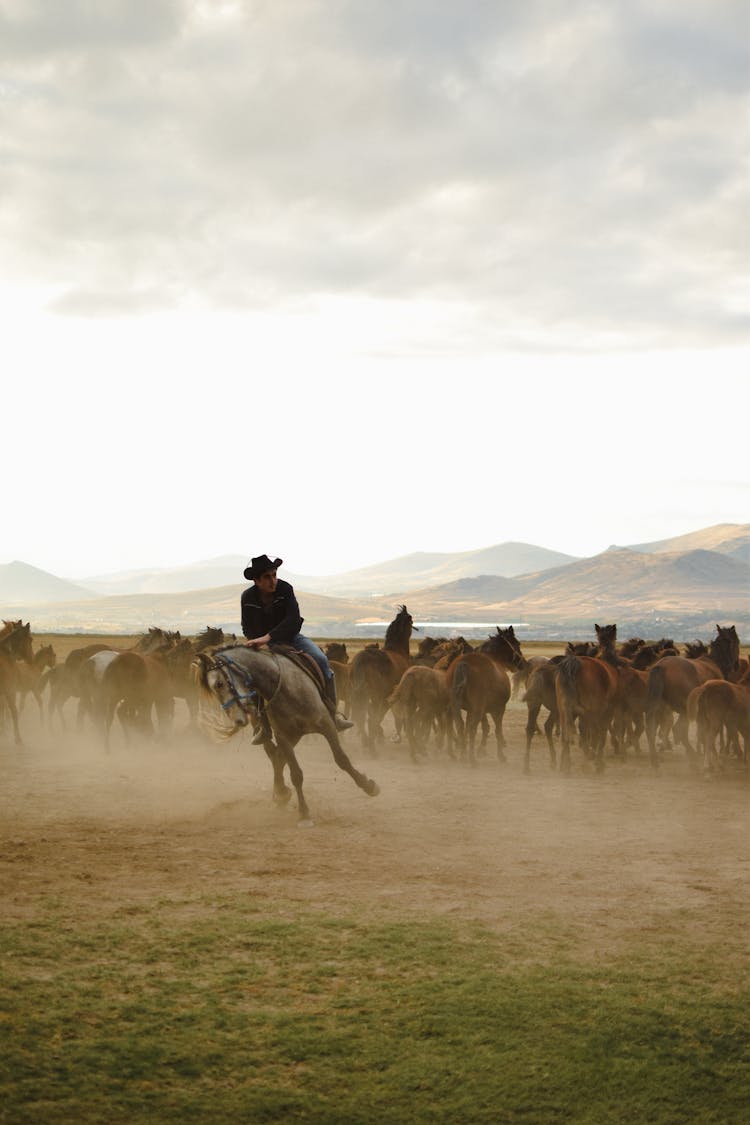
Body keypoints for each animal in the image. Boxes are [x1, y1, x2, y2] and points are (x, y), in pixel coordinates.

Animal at [193, 648, 382, 823]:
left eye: (219, 683)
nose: (238, 720)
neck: (284, 687)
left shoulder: (327, 725)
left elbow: (342, 760)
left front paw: (368, 786)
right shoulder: (283, 736)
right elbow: (296, 774)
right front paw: (304, 813)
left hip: (297, 735)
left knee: (278, 758)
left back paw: (281, 792)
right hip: (283, 735)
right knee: (275, 757)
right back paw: (280, 793)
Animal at [348, 607, 413, 756]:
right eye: (411, 621)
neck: (397, 651)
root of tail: (362, 659)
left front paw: (379, 736)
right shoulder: (389, 697)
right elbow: (381, 716)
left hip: (362, 694)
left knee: (361, 717)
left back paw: (366, 742)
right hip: (375, 696)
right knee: (370, 718)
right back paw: (373, 750)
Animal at [647, 625, 746, 765]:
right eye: (737, 641)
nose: (737, 665)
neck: (714, 663)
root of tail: (661, 666)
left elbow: (702, 732)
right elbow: (712, 731)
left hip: (660, 708)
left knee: (652, 727)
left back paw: (655, 759)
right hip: (684, 710)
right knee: (679, 730)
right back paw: (692, 757)